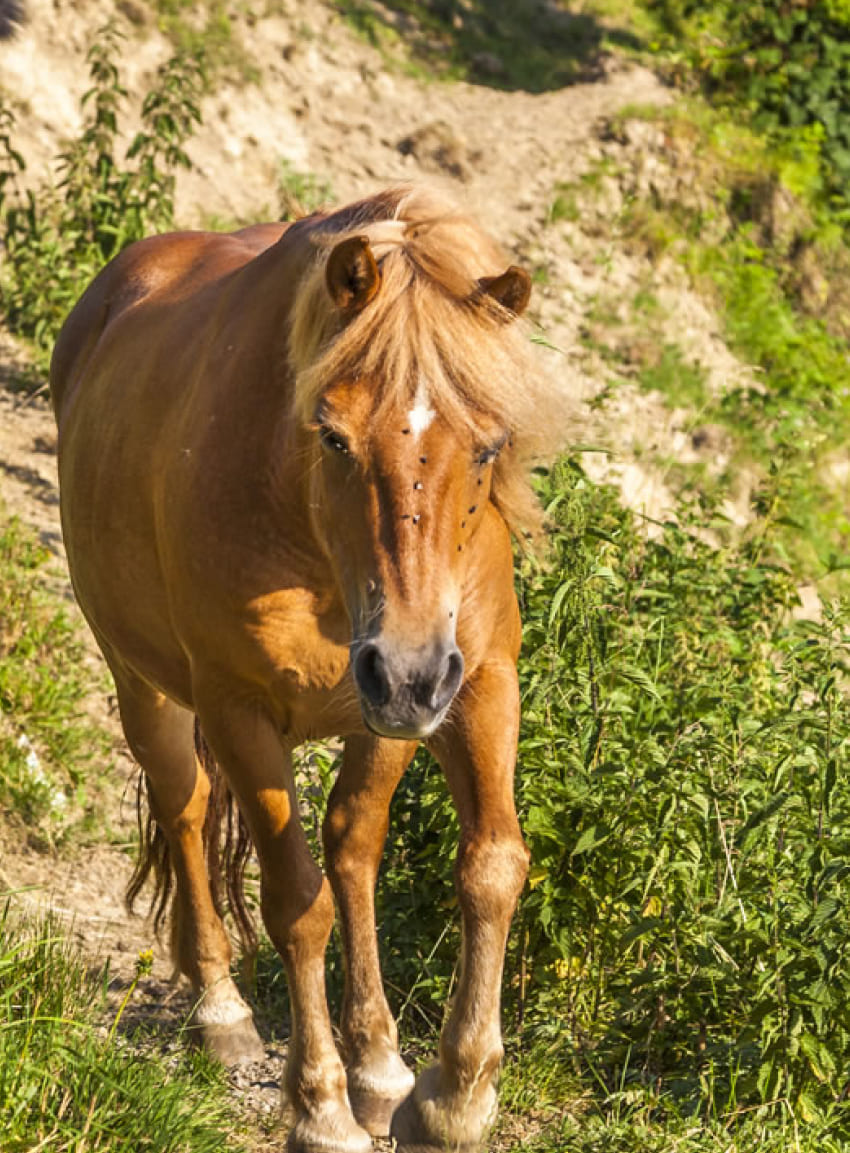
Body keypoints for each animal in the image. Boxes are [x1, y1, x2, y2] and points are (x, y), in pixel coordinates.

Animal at [49, 186, 566, 1152]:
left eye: (488, 447)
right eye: (332, 438)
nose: (407, 668)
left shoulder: (463, 685)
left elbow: (485, 864)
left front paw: (451, 1092)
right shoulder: (241, 711)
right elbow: (297, 901)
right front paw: (321, 1106)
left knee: (351, 848)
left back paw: (381, 1063)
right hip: (148, 688)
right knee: (185, 809)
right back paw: (221, 1012)